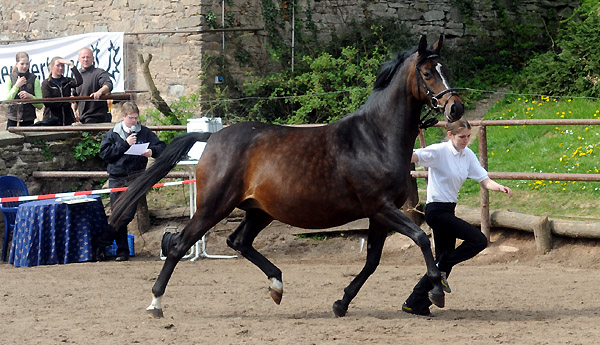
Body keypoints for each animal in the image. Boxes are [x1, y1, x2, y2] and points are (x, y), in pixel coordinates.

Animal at [109, 35, 464, 318]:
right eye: (428, 73)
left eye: (446, 69)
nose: (456, 109)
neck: (375, 137)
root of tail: (213, 137)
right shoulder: (381, 207)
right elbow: (420, 238)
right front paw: (437, 290)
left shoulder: (379, 215)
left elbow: (373, 261)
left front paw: (341, 303)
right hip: (214, 206)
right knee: (180, 244)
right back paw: (155, 304)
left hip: (259, 211)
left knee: (238, 241)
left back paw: (276, 285)